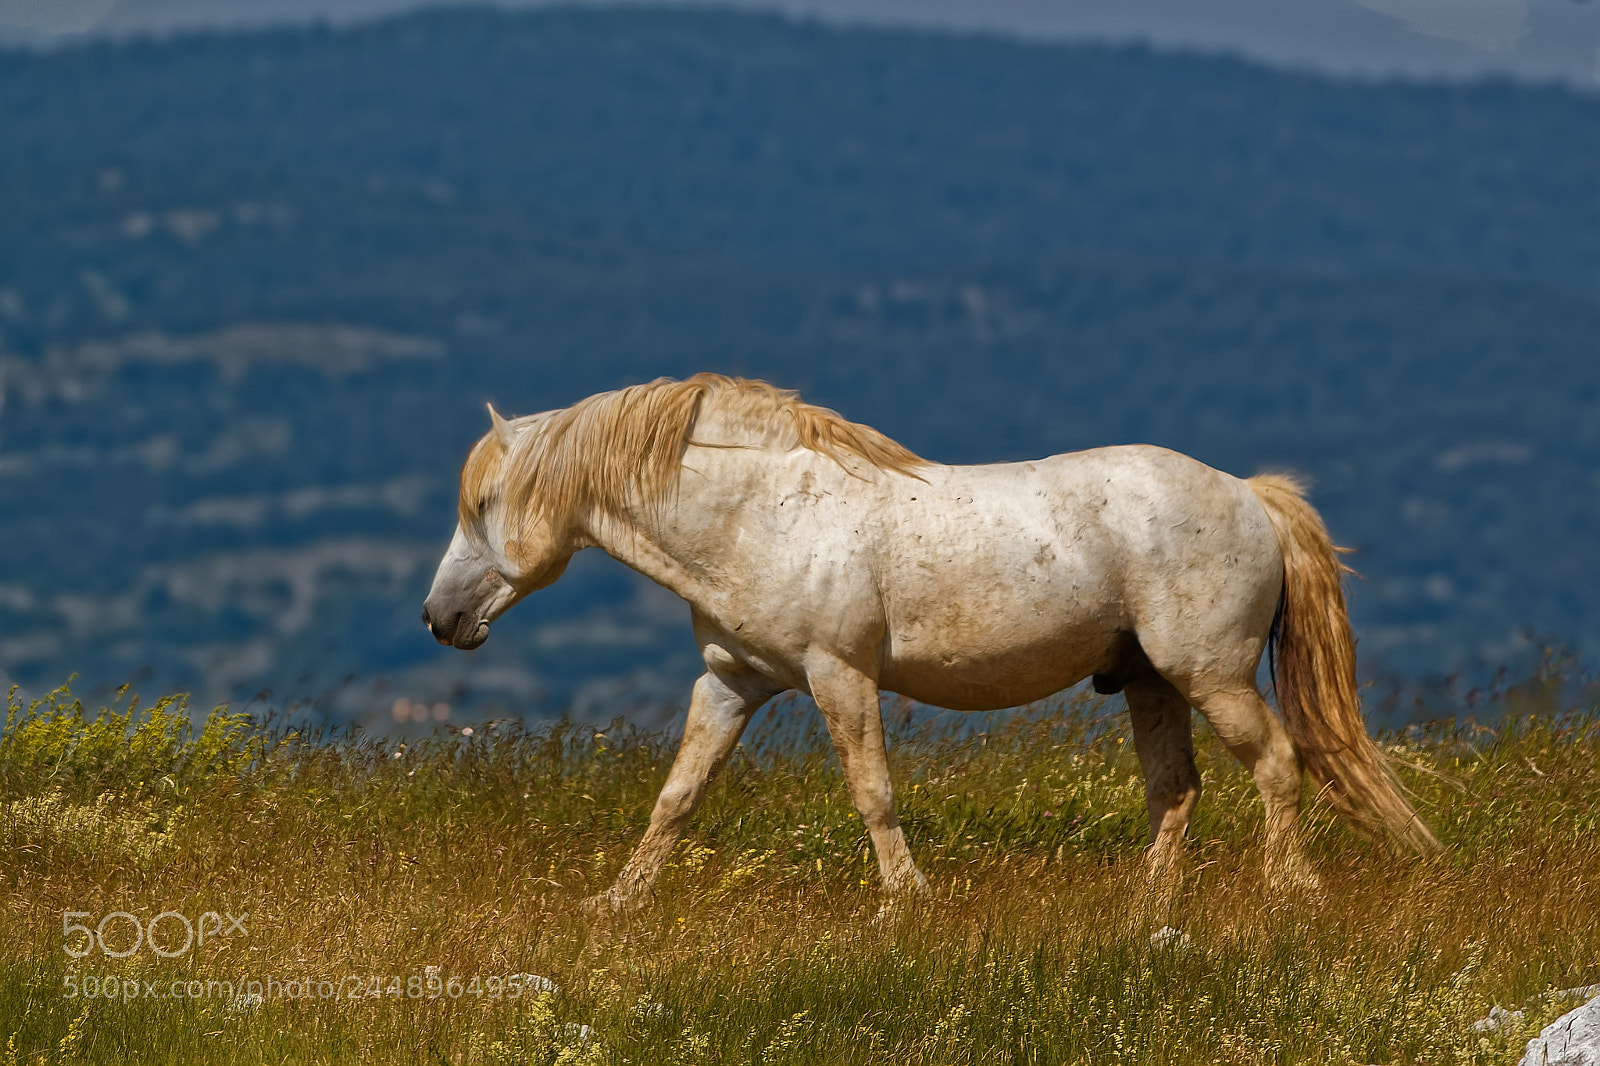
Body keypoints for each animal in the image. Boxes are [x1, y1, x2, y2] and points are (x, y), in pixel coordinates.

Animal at [423, 373, 1436, 912]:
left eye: (486, 503)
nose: (439, 619)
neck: (760, 516)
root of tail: (1249, 494)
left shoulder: (839, 675)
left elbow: (871, 792)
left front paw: (904, 901)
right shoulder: (730, 683)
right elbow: (677, 797)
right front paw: (617, 903)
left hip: (1210, 674)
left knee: (1277, 763)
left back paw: (1289, 891)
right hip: (1151, 681)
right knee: (1176, 790)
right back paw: (1148, 905)